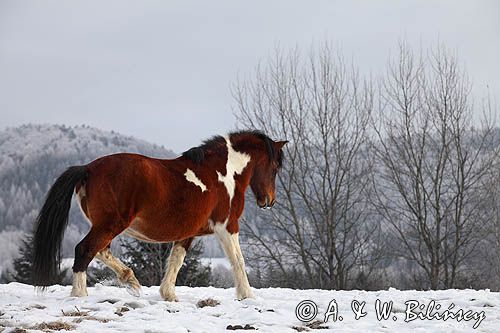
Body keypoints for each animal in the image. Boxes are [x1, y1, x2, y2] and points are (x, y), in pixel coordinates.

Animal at [31, 130, 288, 300]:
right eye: (275, 167)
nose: (269, 201)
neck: (222, 172)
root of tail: (88, 168)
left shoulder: (188, 233)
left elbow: (176, 260)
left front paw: (168, 295)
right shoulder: (227, 226)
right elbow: (238, 260)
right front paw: (247, 295)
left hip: (105, 225)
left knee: (100, 251)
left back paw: (131, 281)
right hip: (110, 224)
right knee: (84, 250)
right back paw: (80, 295)